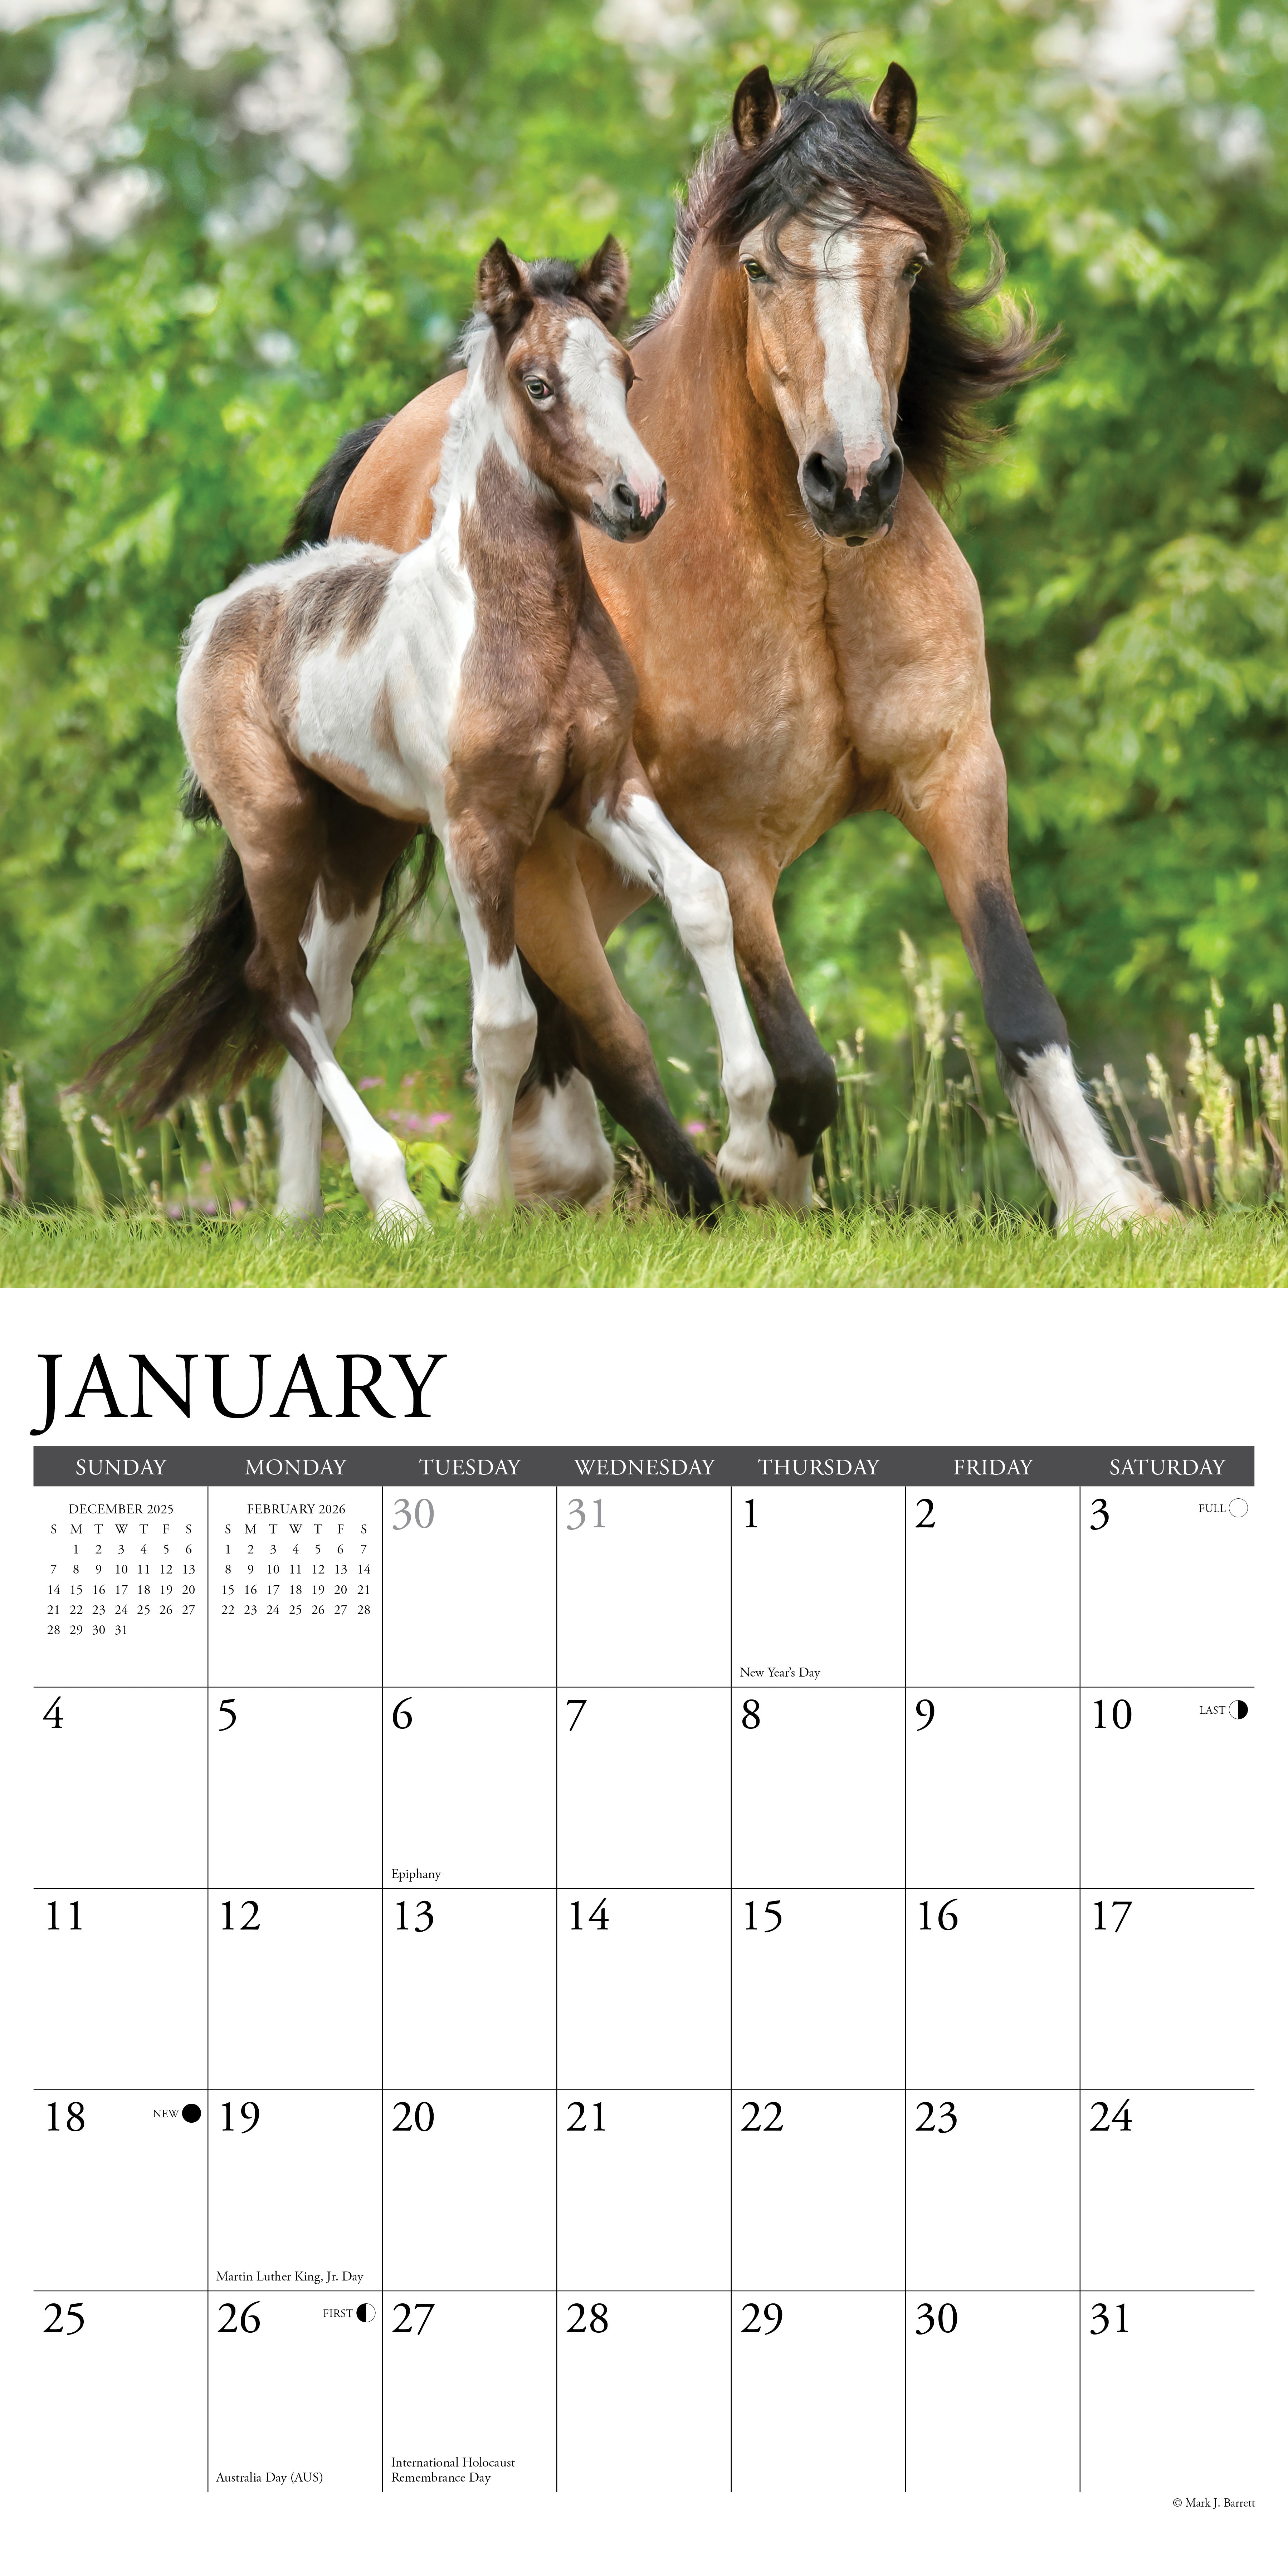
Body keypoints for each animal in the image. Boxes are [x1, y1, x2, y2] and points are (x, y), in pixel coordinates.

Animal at [89, 239, 774, 1223]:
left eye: (626, 373)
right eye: (537, 384)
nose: (638, 498)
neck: (520, 625)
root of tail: (222, 612)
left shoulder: (605, 789)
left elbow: (703, 896)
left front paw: (752, 1143)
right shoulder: (478, 830)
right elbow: (505, 1022)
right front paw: (485, 1206)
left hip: (359, 849)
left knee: (323, 994)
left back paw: (301, 1216)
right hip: (275, 830)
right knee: (278, 986)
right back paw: (395, 1205)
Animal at [315, 57, 1163, 1228]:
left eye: (910, 267)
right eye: (761, 267)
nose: (852, 481)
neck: (802, 573)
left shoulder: (956, 774)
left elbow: (1021, 1003)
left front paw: (1108, 1201)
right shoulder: (727, 842)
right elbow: (799, 1060)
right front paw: (768, 1171)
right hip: (535, 857)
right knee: (598, 1030)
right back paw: (600, 1181)